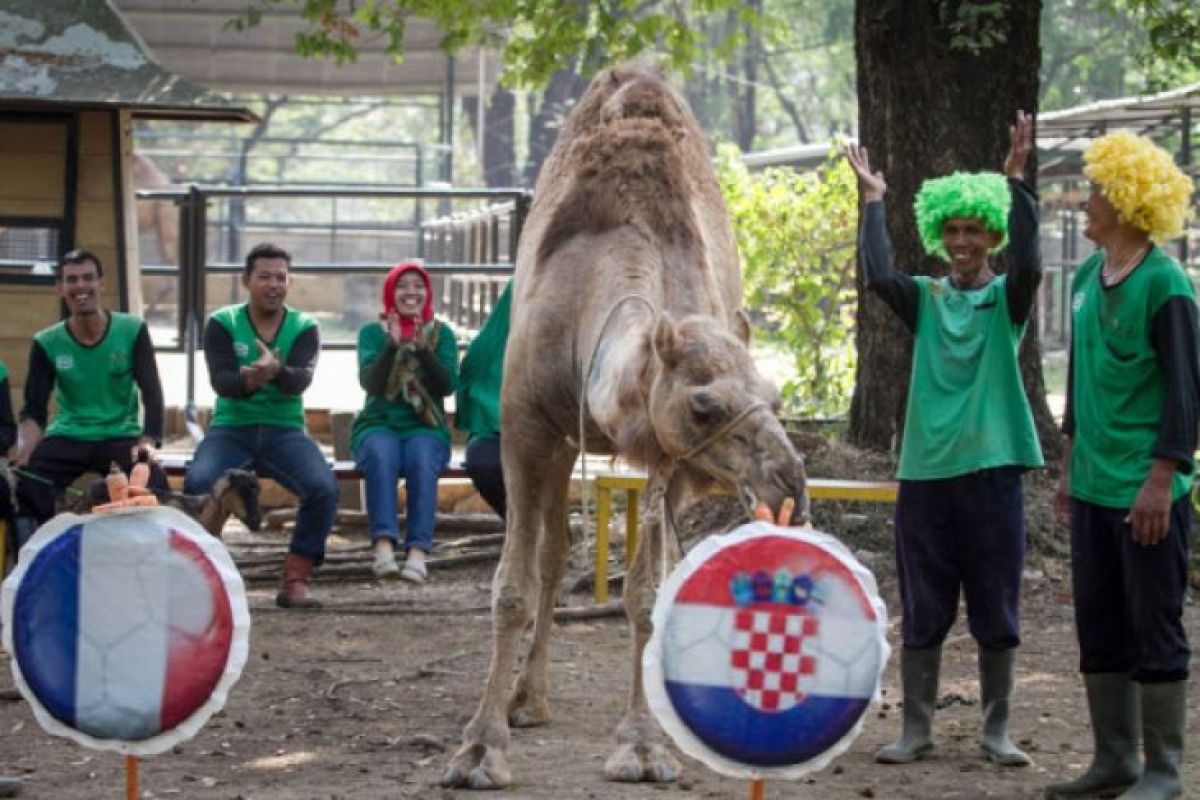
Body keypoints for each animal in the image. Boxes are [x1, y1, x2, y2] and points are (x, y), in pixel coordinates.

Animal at [441, 62, 806, 786]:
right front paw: (479, 749)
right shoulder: (526, 427)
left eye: (775, 398)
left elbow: (645, 595)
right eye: (704, 405)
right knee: (553, 556)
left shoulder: (673, 460)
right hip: (558, 443)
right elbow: (513, 586)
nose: (791, 483)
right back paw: (527, 699)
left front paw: (642, 747)